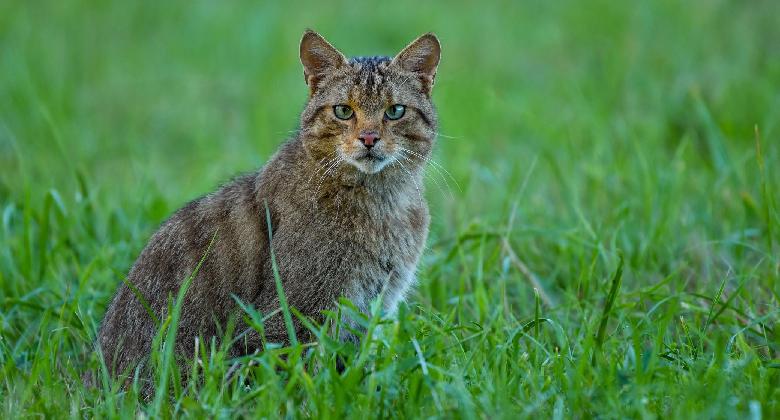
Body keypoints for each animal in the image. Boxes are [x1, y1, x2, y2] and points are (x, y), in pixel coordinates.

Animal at [90, 29, 438, 390]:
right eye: (343, 111)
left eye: (395, 111)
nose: (368, 138)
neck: (384, 201)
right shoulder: (293, 315)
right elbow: (298, 380)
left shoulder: (369, 310)